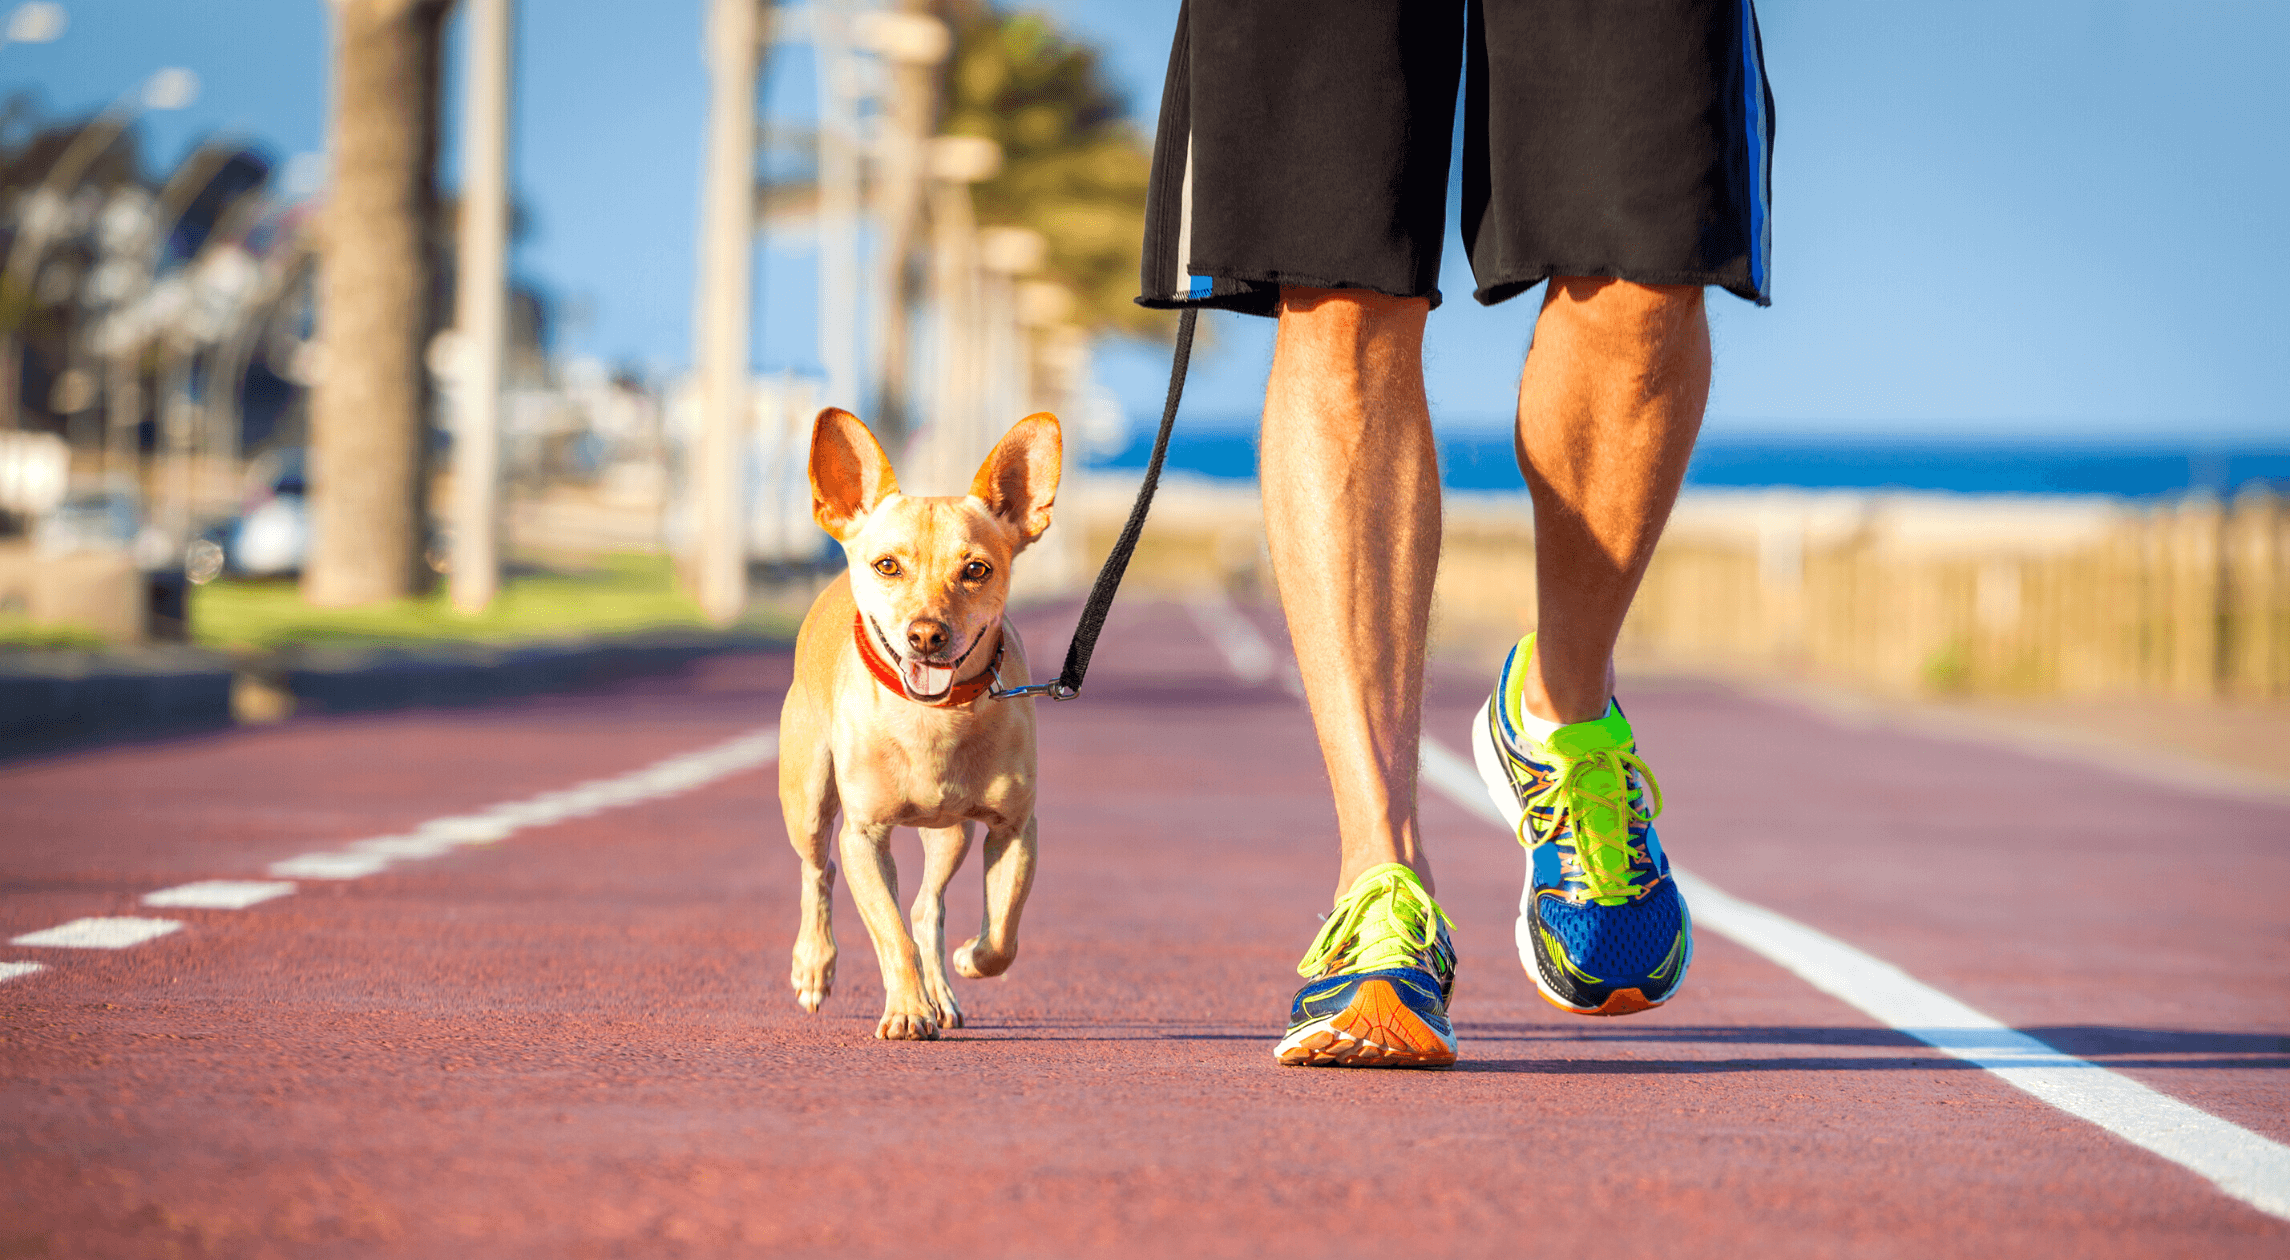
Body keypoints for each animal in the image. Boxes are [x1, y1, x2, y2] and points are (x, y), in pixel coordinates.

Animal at [769, 407, 1053, 1049]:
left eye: (976, 569)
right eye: (887, 566)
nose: (926, 633)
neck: (932, 718)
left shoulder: (1014, 829)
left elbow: (1003, 933)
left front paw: (970, 959)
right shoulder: (864, 837)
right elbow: (889, 933)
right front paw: (905, 1010)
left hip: (951, 834)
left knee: (926, 909)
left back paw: (942, 991)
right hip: (809, 800)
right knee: (817, 871)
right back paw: (813, 966)